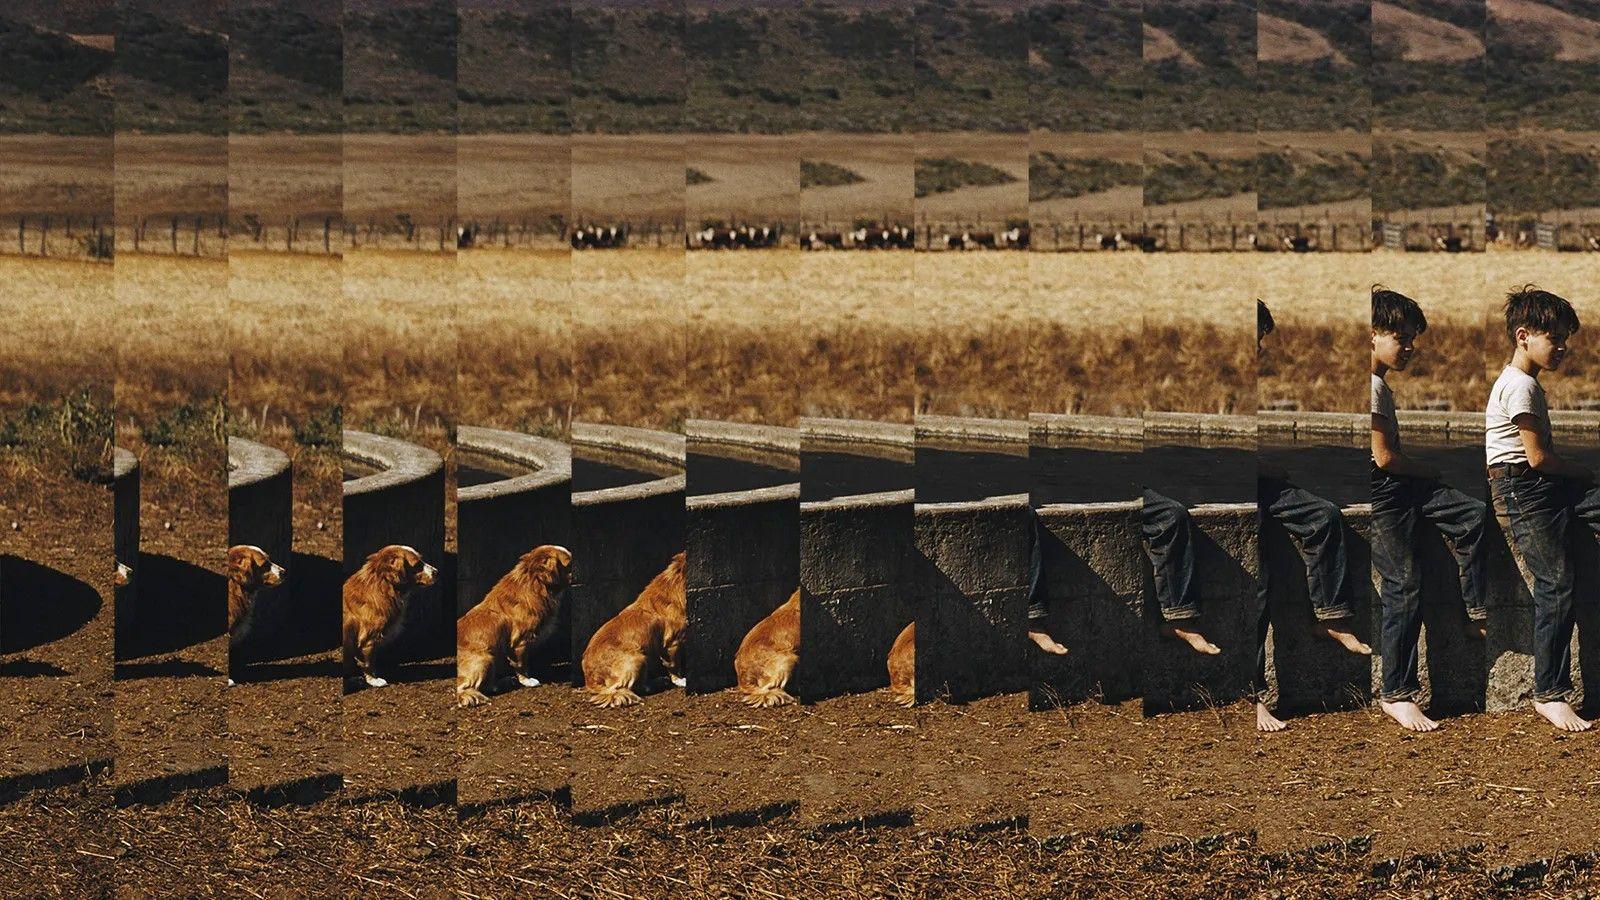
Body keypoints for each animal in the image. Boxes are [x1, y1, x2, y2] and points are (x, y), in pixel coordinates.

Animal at [340, 544, 435, 682]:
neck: (383, 585)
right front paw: (374, 680)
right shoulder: (368, 639)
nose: (437, 572)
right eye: (417, 564)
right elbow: (368, 662)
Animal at [454, 544, 572, 704]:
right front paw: (528, 680)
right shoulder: (520, 642)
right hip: (485, 659)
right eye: (569, 565)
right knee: (464, 687)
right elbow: (521, 664)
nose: (577, 570)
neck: (534, 584)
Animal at [588, 550, 688, 704]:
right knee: (627, 687)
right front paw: (681, 680)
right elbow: (674, 666)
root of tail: (590, 677)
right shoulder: (673, 643)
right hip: (636, 658)